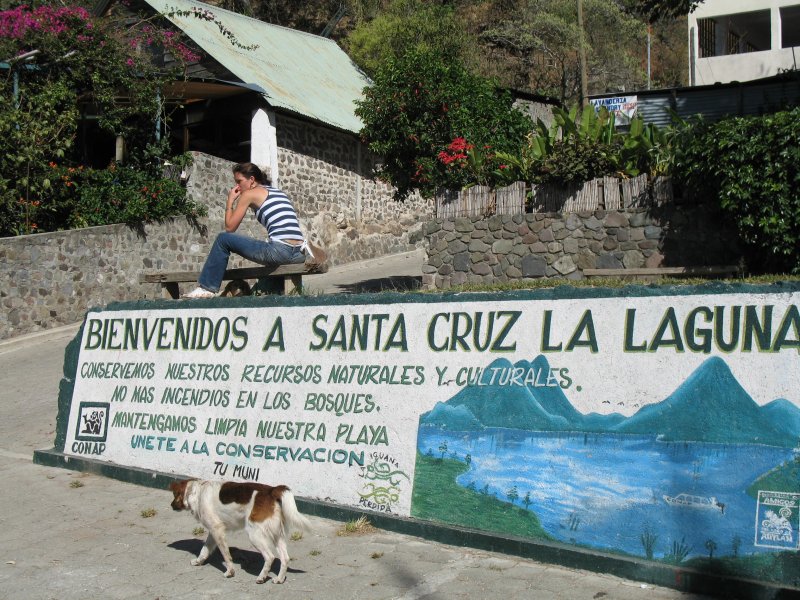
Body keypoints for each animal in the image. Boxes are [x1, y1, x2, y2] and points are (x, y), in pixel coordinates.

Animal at [170, 480, 310, 584]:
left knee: (270, 557)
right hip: (277, 535)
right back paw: (279, 579)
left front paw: (230, 572)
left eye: (174, 495)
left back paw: (261, 577)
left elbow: (226, 555)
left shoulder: (217, 530)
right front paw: (199, 561)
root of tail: (272, 490)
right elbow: (204, 550)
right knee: (285, 558)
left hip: (254, 535)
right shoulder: (213, 532)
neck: (197, 493)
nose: (171, 505)